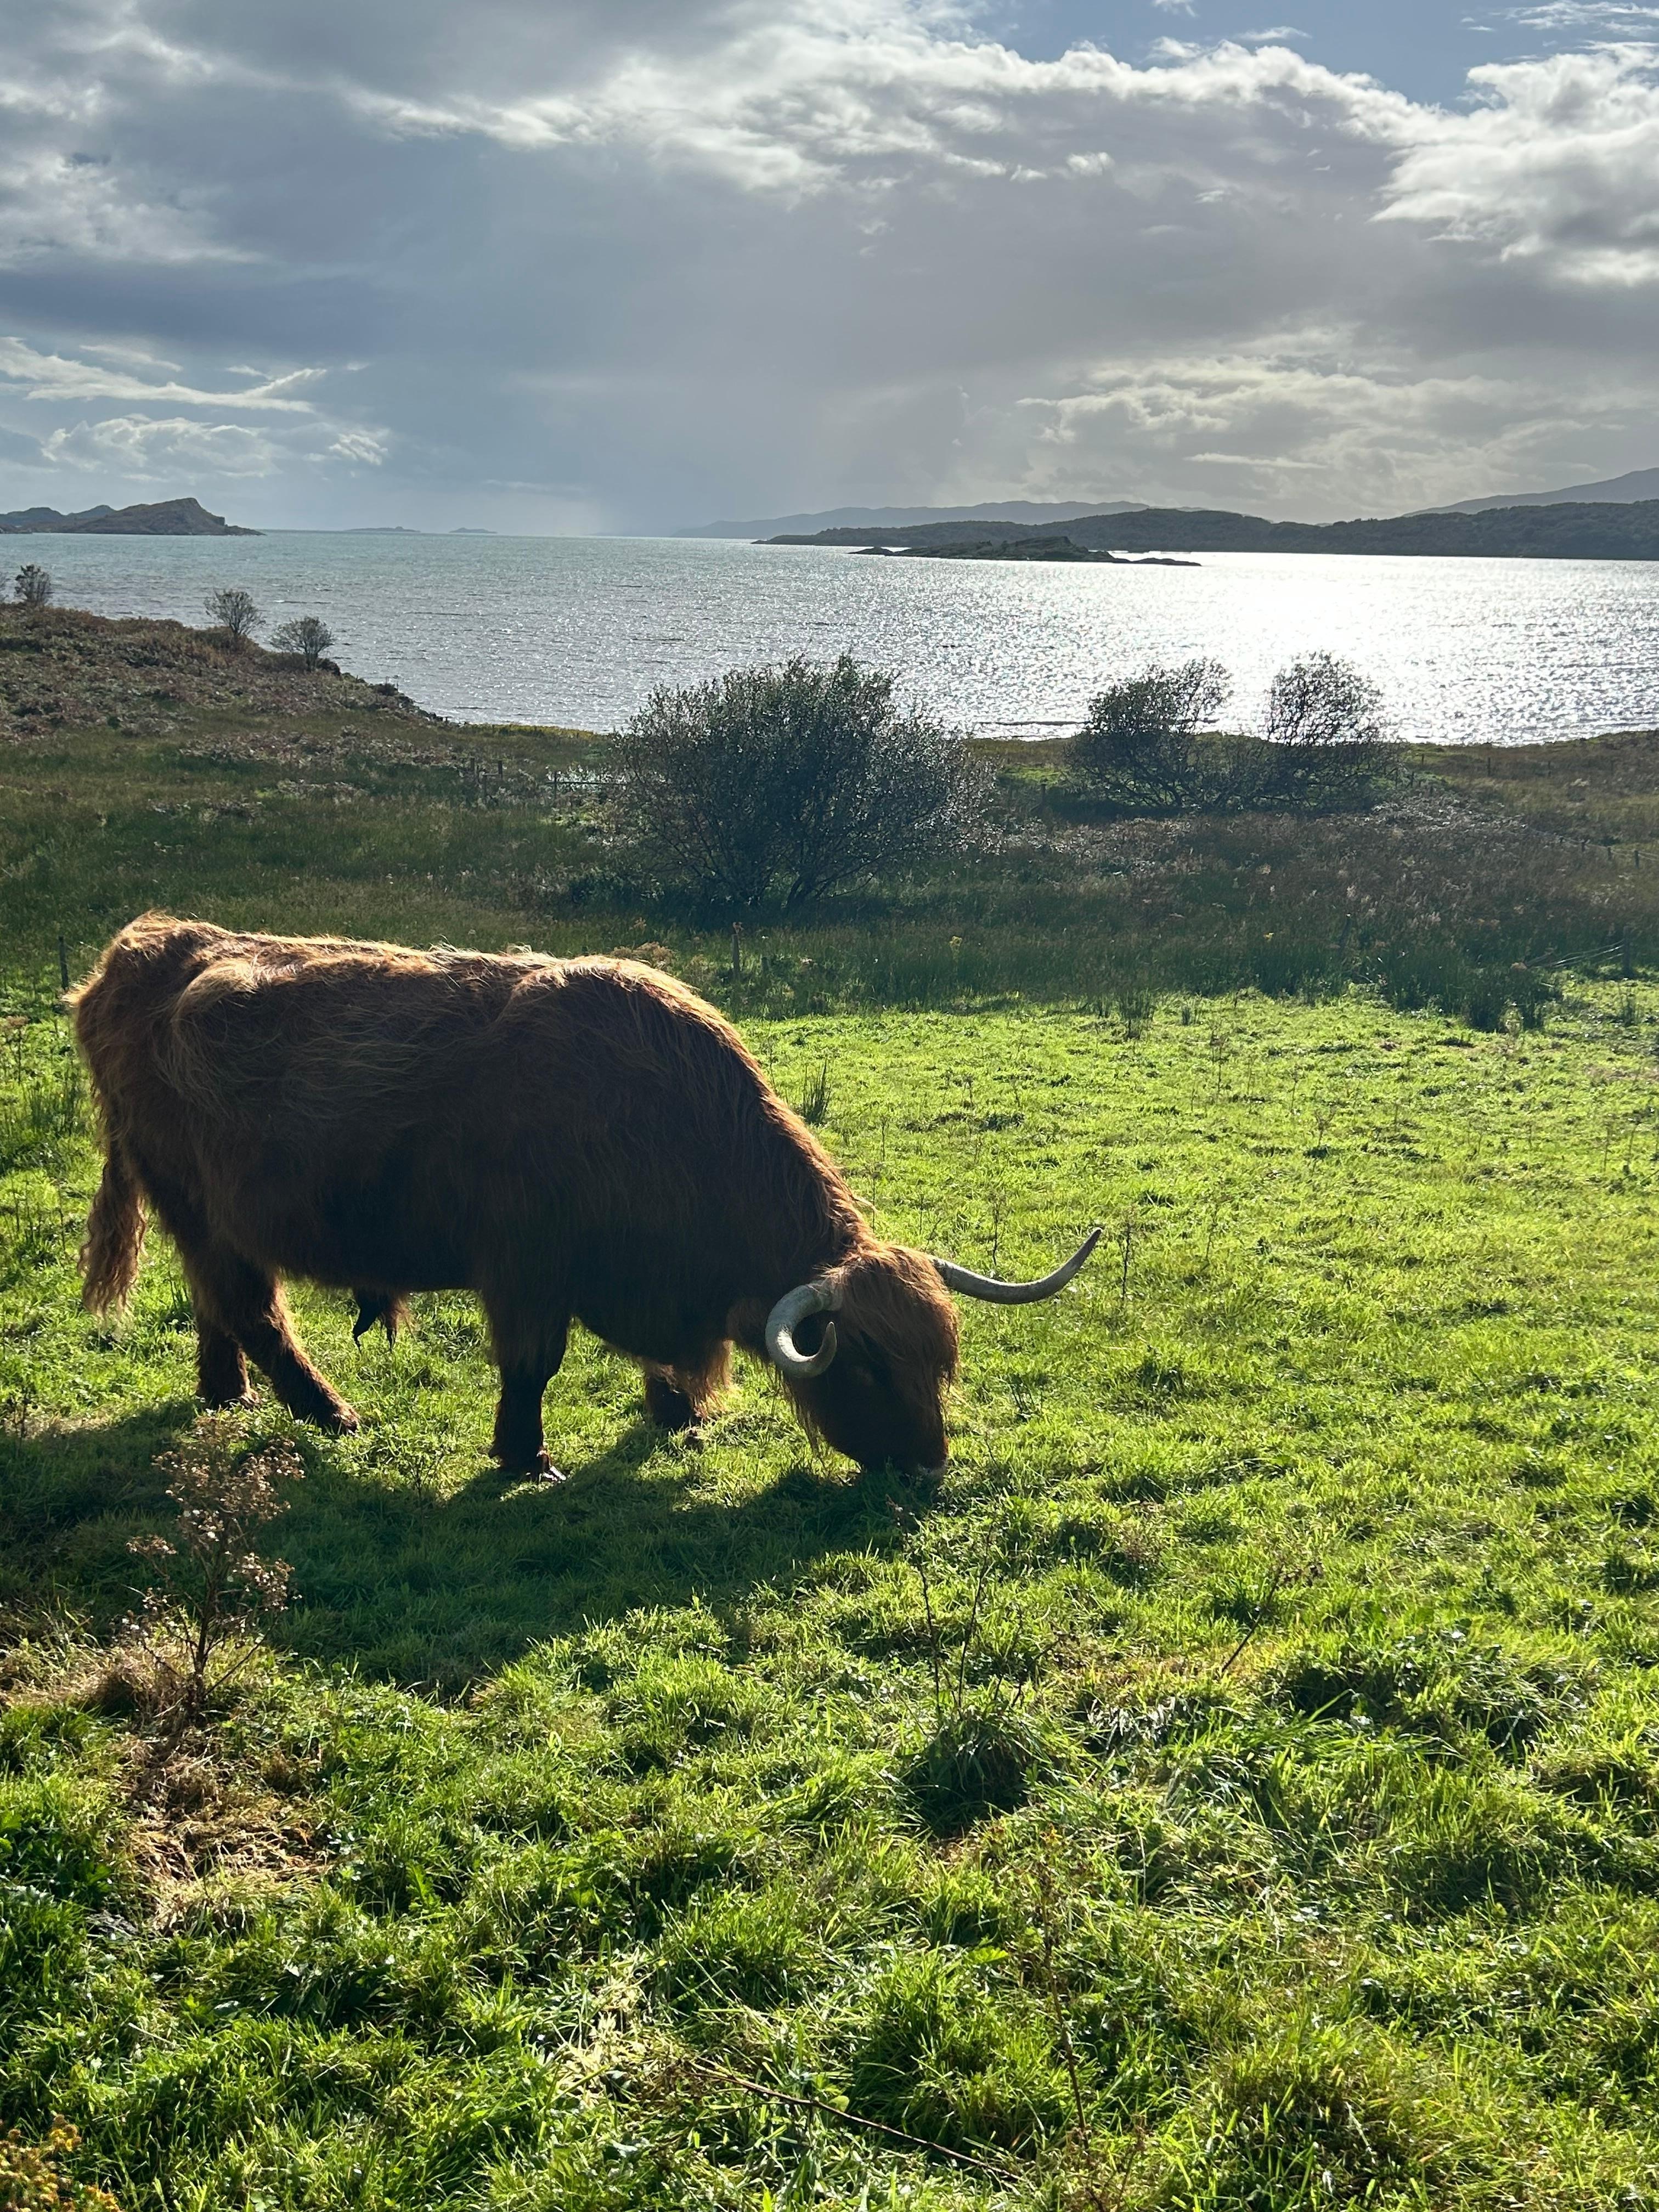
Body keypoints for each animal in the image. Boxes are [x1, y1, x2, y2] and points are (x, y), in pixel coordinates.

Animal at [72, 915, 1099, 1479]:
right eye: (874, 1368)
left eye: (941, 1362)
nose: (927, 1466)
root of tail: (137, 949)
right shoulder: (526, 1266)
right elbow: (534, 1366)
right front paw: (527, 1458)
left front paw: (678, 1411)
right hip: (194, 1199)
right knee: (251, 1309)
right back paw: (329, 1413)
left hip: (210, 1216)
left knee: (217, 1305)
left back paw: (226, 1398)